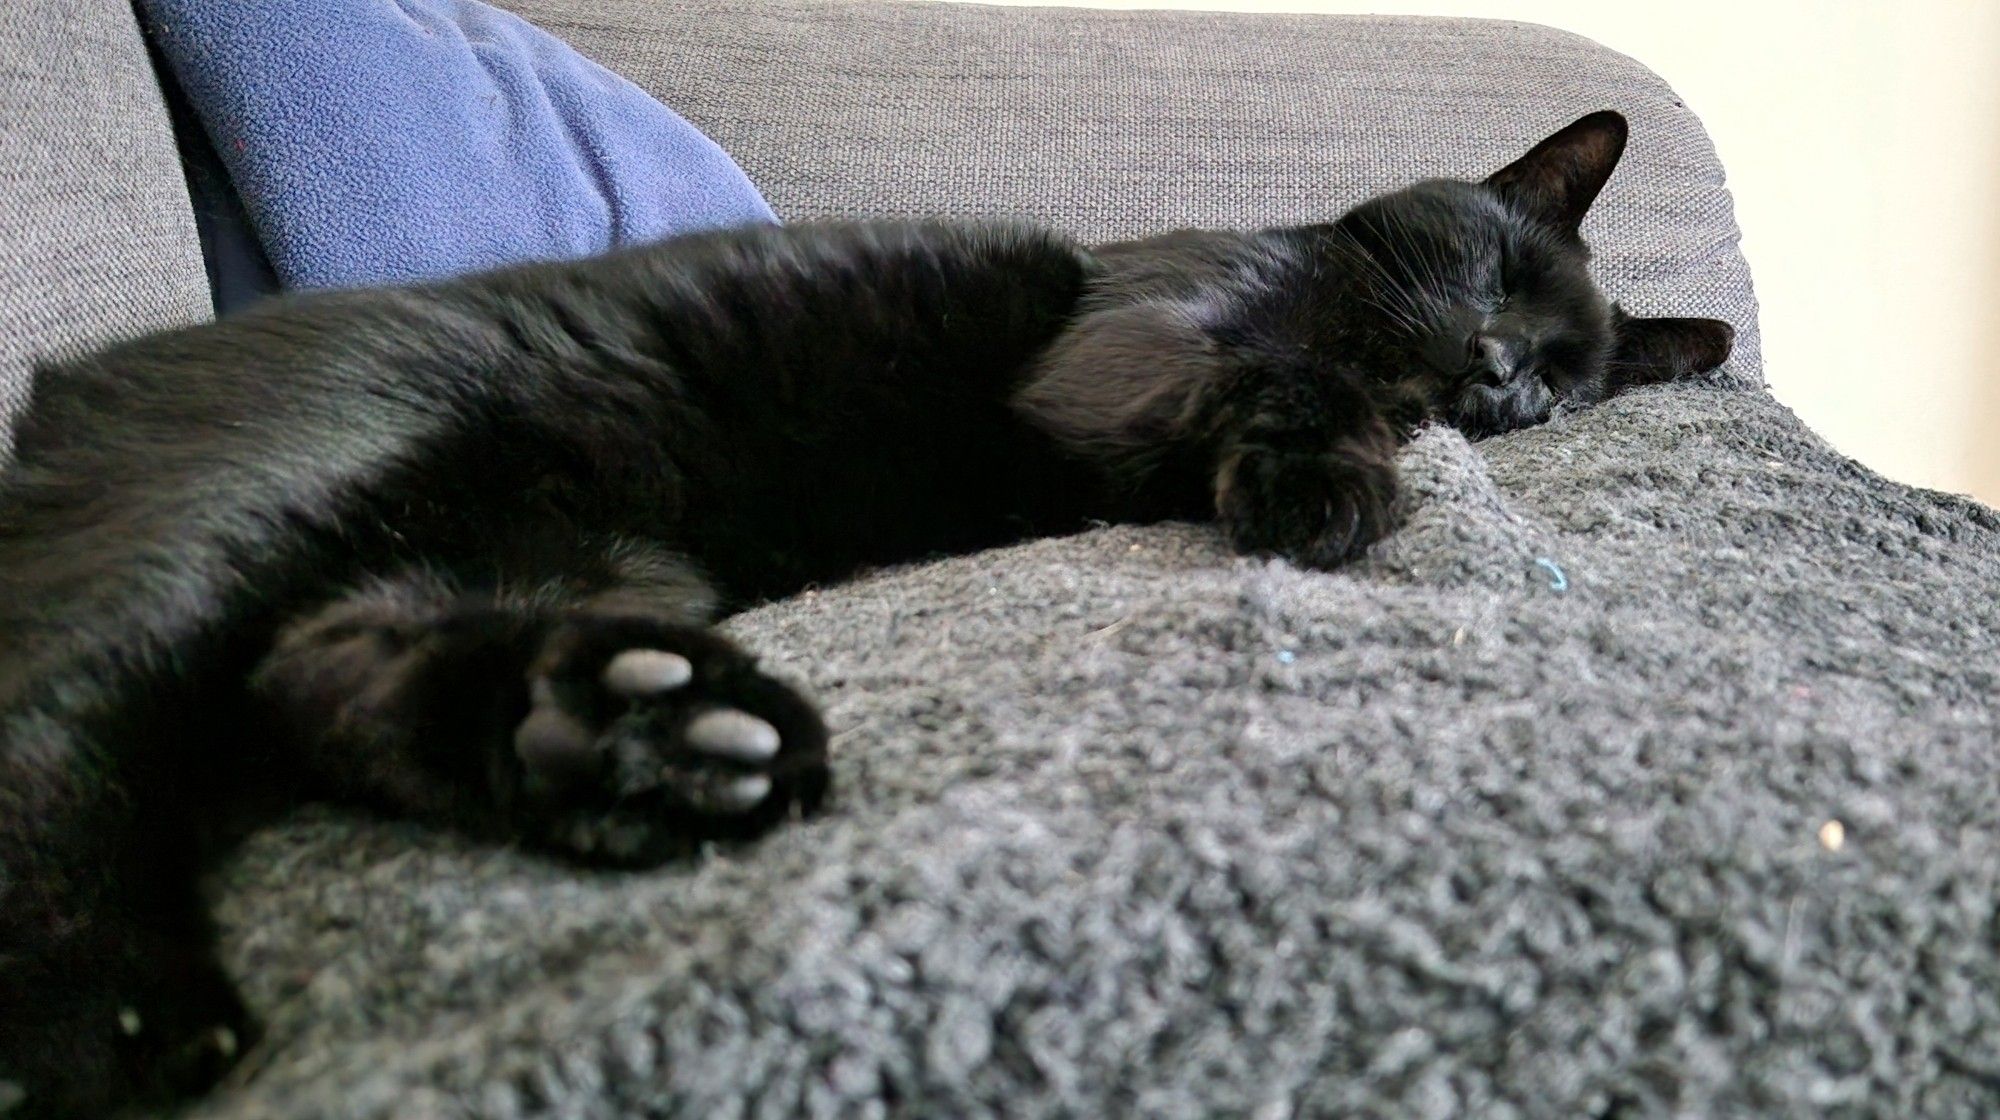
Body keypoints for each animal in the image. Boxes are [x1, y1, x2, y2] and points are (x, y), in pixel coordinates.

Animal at [0, 111, 1720, 1112]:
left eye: (1568, 383)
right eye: (1498, 276)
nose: (1500, 382)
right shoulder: (1130, 337)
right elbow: (1285, 372)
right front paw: (1324, 480)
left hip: (574, 559)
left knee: (307, 673)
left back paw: (637, 738)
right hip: (275, 479)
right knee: (74, 700)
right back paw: (99, 1022)